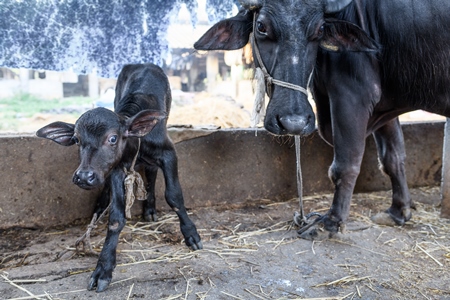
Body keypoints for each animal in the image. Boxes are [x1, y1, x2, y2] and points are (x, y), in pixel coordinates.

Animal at [37, 62, 202, 290]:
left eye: (113, 138)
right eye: (77, 140)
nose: (84, 177)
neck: (137, 142)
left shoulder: (169, 153)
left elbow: (174, 197)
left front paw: (191, 234)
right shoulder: (116, 170)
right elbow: (116, 218)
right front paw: (103, 267)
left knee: (152, 174)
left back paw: (150, 209)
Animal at [195, 0, 450, 237]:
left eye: (320, 30)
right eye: (261, 27)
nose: (294, 122)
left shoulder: (352, 97)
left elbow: (345, 164)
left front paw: (332, 221)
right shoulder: (384, 107)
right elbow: (393, 157)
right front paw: (398, 212)